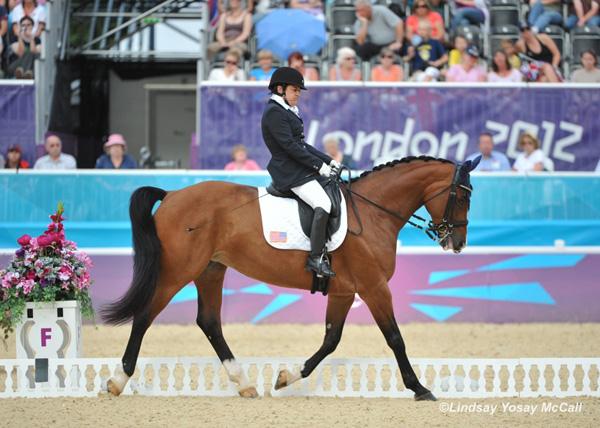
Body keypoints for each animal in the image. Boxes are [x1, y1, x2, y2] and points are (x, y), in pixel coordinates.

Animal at [102, 156, 478, 402]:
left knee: (209, 322)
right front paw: (420, 389)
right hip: (178, 270)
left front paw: (286, 377)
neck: (374, 213)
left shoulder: (344, 292)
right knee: (145, 316)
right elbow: (395, 339)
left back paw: (244, 383)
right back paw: (118, 380)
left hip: (211, 270)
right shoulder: (374, 288)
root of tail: (171, 195)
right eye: (462, 196)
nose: (458, 244)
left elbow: (331, 340)